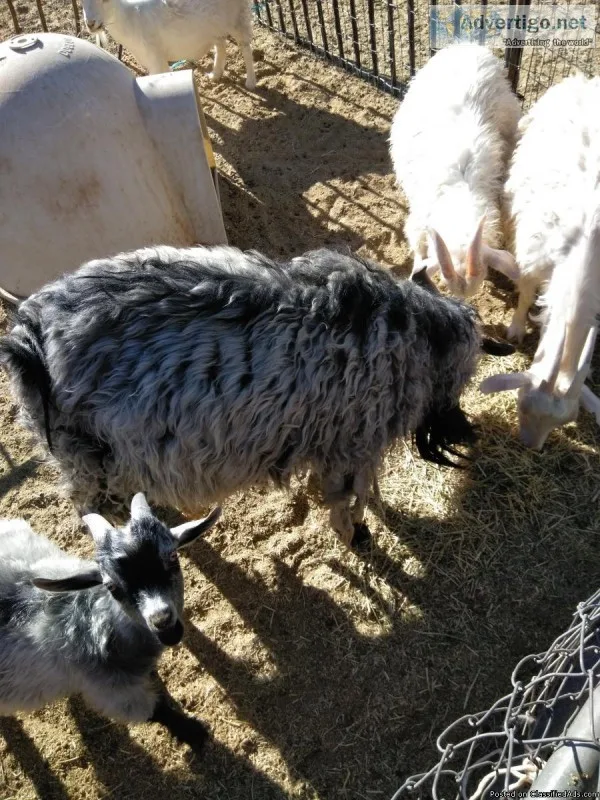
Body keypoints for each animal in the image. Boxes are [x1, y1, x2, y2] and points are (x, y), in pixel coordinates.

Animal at [0, 246, 513, 546]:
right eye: (464, 377)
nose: (467, 434)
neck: (409, 333)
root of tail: (29, 330)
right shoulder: (349, 444)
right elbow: (350, 499)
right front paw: (358, 533)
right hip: (84, 458)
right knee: (91, 508)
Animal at [0, 493, 220, 748]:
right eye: (111, 586)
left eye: (173, 556)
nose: (163, 622)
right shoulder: (113, 691)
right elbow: (156, 709)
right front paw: (192, 732)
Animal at [81, 0, 256, 89]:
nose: (91, 24)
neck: (130, 18)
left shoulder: (156, 56)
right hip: (215, 23)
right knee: (220, 43)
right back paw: (216, 74)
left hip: (237, 16)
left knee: (245, 47)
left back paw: (251, 82)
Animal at [480, 74, 600, 449]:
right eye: (522, 405)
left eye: (563, 423)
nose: (531, 448)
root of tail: (583, 79)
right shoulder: (535, 253)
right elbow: (526, 293)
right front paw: (517, 329)